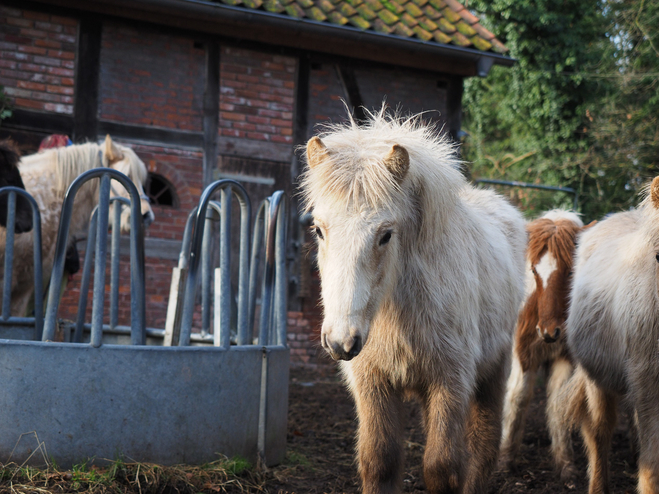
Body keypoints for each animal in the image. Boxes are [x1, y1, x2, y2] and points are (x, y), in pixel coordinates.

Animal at [300, 111, 524, 494]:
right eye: (318, 230)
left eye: (386, 235)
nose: (341, 341)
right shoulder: (373, 383)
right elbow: (380, 462)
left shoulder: (451, 381)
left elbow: (441, 468)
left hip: (492, 374)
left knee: (483, 446)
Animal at [500, 208, 588, 478]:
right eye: (533, 270)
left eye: (570, 272)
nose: (549, 331)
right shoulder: (523, 355)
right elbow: (518, 397)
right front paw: (505, 459)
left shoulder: (564, 357)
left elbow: (558, 401)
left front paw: (566, 463)